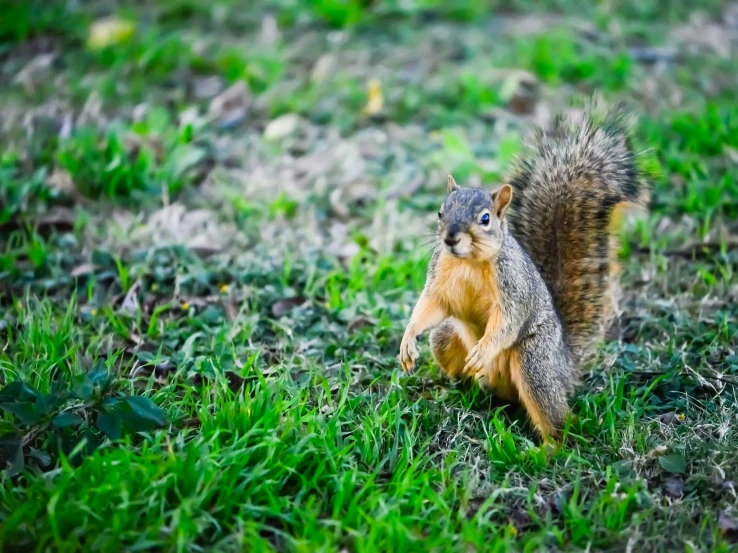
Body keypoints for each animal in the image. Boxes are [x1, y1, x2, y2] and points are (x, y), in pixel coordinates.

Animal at [400, 104, 648, 440]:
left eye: (485, 219)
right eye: (440, 212)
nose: (450, 237)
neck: (468, 261)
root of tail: (565, 365)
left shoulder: (514, 287)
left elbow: (508, 320)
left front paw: (484, 349)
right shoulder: (439, 278)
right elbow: (430, 307)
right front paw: (408, 340)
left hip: (535, 362)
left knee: (559, 420)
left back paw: (549, 447)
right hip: (445, 337)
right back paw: (456, 387)